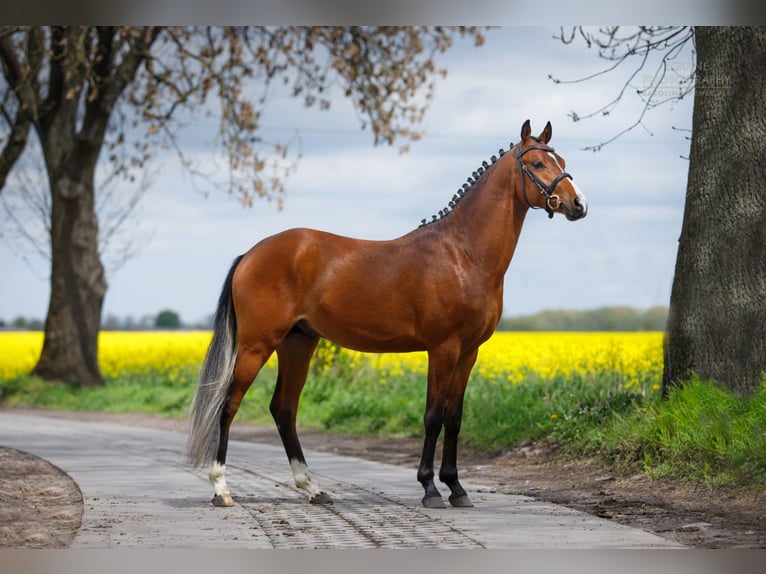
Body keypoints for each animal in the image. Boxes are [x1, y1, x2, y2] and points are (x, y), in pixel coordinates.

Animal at [186, 120, 588, 508]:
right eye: (537, 163)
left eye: (562, 161)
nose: (578, 204)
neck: (463, 253)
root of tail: (251, 254)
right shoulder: (443, 348)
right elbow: (433, 416)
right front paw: (430, 489)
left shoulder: (468, 353)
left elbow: (455, 418)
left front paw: (456, 488)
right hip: (257, 345)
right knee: (229, 404)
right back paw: (221, 489)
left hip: (298, 343)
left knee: (284, 410)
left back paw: (313, 488)